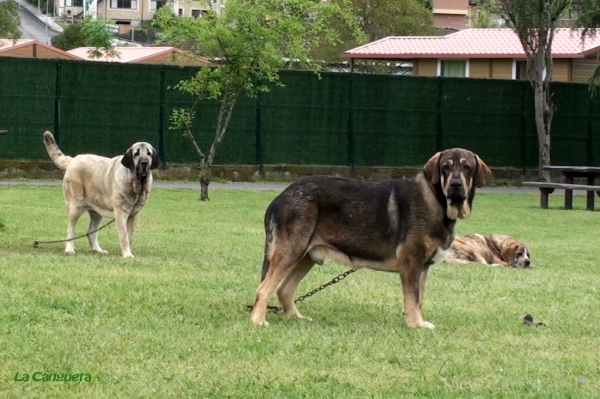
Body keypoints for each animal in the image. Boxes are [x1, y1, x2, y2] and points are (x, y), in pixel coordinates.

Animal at [251, 148, 490, 330]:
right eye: (445, 167)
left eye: (467, 167)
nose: (456, 185)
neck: (437, 201)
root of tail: (281, 197)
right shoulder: (412, 262)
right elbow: (412, 299)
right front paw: (415, 325)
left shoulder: (423, 267)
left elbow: (419, 299)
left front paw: (418, 322)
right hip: (291, 251)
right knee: (264, 289)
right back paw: (258, 321)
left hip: (306, 256)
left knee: (283, 289)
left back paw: (296, 318)